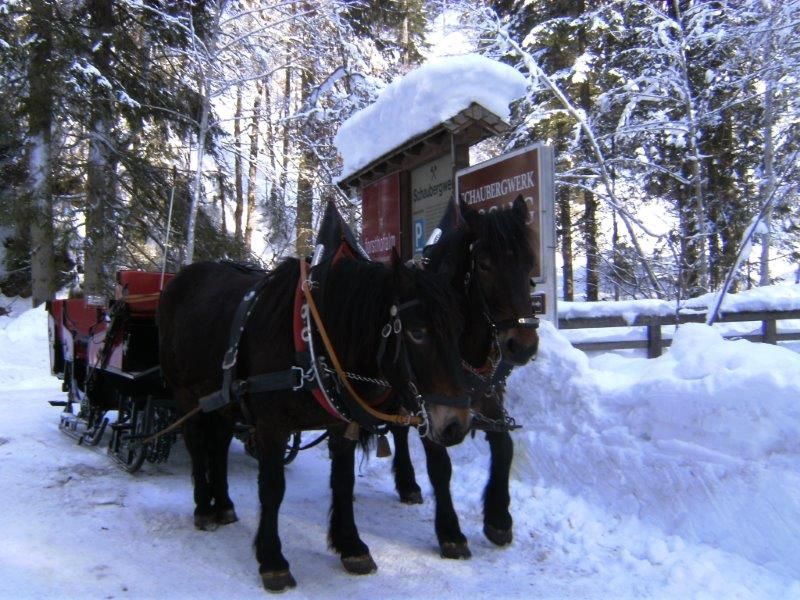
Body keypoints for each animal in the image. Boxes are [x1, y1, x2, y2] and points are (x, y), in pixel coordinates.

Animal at [159, 252, 472, 592]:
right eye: (417, 332)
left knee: (218, 447)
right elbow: (272, 488)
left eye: (459, 330)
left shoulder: (342, 424)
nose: (456, 424)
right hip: (185, 395)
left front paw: (350, 545)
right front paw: (273, 561)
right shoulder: (271, 427)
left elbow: (343, 482)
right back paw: (204, 508)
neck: (313, 341)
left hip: (224, 401)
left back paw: (224, 505)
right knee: (197, 447)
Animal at [388, 196, 536, 556]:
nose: (522, 346)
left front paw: (499, 517)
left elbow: (504, 446)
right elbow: (440, 465)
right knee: (397, 430)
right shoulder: (430, 402)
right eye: (483, 264)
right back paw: (407, 483)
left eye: (530, 261)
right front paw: (450, 532)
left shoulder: (488, 397)